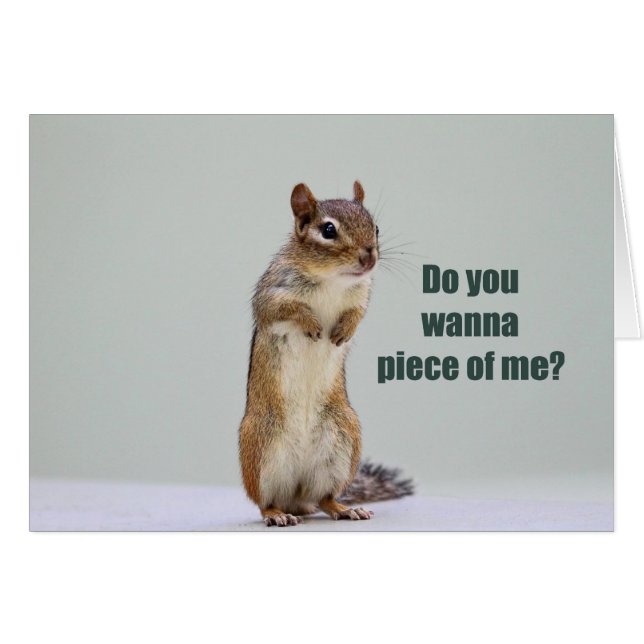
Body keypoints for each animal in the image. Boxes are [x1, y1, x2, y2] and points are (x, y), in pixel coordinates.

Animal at [239, 181, 413, 527]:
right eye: (328, 230)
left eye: (375, 227)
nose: (369, 257)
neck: (332, 279)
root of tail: (296, 497)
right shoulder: (273, 290)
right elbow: (282, 308)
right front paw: (310, 322)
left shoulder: (361, 296)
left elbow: (357, 315)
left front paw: (343, 330)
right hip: (259, 447)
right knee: (265, 501)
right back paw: (276, 515)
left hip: (342, 441)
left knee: (325, 497)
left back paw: (345, 509)